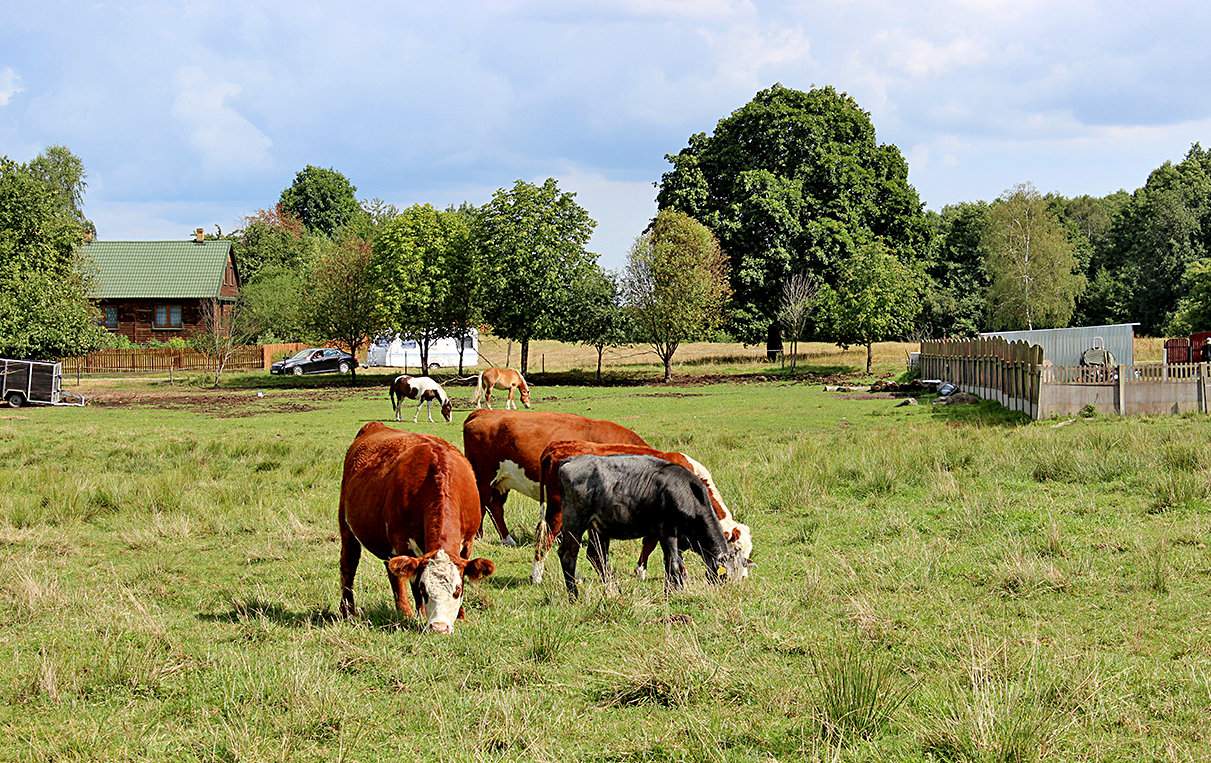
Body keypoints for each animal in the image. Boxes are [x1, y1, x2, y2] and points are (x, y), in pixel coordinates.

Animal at [339, 423, 494, 634]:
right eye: (424, 589)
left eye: (457, 590)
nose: (439, 628)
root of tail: (375, 425)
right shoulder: (403, 543)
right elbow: (410, 582)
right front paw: (419, 615)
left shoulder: (468, 541)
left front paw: (461, 616)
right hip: (347, 528)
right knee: (350, 566)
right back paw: (350, 611)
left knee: (390, 570)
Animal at [457, 411, 649, 549]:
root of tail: (482, 412)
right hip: (484, 476)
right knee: (483, 504)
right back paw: (488, 538)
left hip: (502, 481)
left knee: (494, 506)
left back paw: (501, 538)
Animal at [535, 438, 750, 583]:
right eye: (736, 550)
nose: (742, 578)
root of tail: (555, 448)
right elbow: (650, 545)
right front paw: (642, 571)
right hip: (560, 515)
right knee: (546, 541)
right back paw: (537, 576)